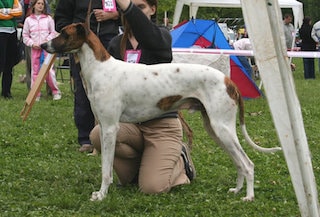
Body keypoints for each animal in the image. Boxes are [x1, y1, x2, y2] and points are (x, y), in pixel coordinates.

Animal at [39, 22, 280, 202]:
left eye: (63, 33)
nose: (42, 44)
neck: (101, 69)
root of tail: (229, 81)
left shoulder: (109, 128)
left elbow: (106, 169)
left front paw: (101, 195)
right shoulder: (106, 126)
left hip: (222, 128)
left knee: (248, 163)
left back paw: (248, 196)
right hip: (215, 129)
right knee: (238, 162)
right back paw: (237, 190)